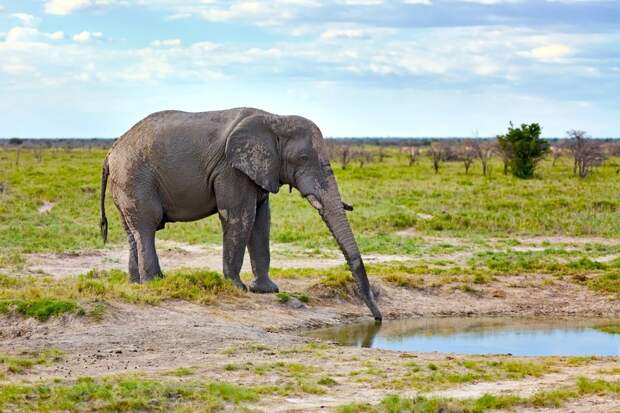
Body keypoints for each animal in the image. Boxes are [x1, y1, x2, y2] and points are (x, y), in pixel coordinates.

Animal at [100, 106, 382, 318]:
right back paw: (155, 282)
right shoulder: (231, 169)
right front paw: (238, 287)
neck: (275, 118)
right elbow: (240, 216)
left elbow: (261, 222)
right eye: (303, 158)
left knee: (132, 231)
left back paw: (136, 283)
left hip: (125, 183)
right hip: (134, 177)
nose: (377, 318)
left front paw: (267, 290)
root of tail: (111, 152)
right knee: (147, 226)